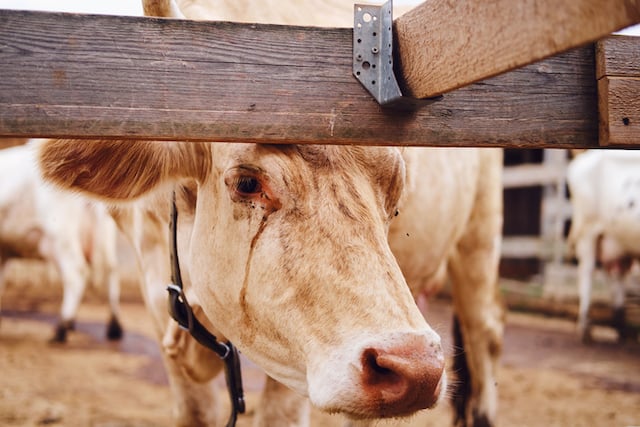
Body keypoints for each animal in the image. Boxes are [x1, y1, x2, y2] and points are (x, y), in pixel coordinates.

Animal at [0, 142, 122, 342]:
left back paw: (62, 328)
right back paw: (114, 328)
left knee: (76, 272)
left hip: (61, 234)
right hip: (104, 234)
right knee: (110, 271)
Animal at [567, 149, 640, 343]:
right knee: (587, 273)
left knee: (616, 277)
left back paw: (622, 330)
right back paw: (586, 329)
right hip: (588, 232)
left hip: (615, 242)